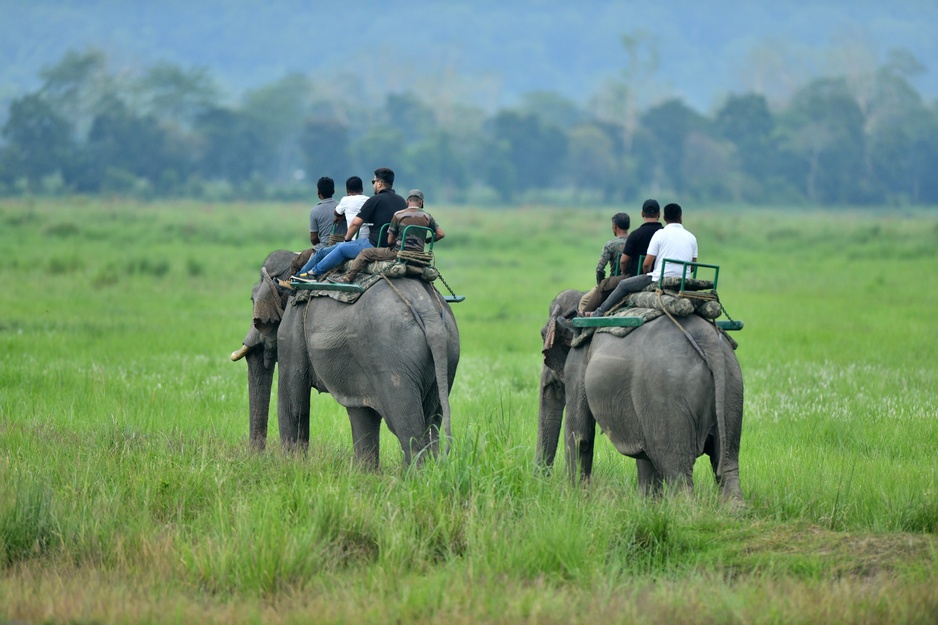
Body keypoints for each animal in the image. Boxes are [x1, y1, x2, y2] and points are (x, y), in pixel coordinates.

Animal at [230, 249, 458, 468]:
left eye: (252, 300)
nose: (255, 458)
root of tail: (428, 312)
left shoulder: (292, 326)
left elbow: (293, 404)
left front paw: (289, 467)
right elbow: (362, 413)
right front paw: (364, 475)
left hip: (394, 359)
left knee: (408, 426)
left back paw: (416, 477)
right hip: (447, 356)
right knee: (432, 420)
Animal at [536, 288, 744, 498]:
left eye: (543, 334)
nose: (542, 486)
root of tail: (709, 341)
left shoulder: (578, 360)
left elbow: (580, 437)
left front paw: (575, 499)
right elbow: (644, 455)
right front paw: (648, 503)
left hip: (666, 397)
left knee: (677, 471)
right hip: (732, 387)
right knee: (727, 465)